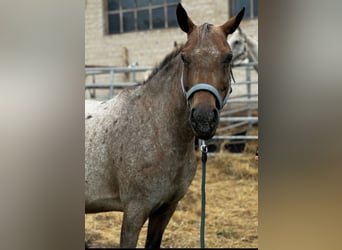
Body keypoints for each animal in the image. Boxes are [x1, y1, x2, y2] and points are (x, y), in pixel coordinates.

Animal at [85, 3, 246, 248]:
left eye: (228, 58)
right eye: (185, 58)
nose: (203, 119)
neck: (158, 129)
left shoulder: (166, 209)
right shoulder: (135, 211)